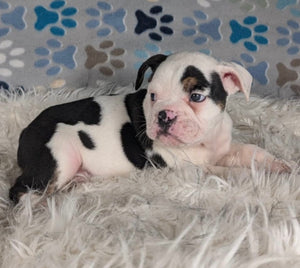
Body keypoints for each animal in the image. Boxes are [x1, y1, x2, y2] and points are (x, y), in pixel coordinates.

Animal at [9, 52, 290, 203]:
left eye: (196, 97)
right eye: (153, 96)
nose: (165, 116)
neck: (204, 141)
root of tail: (25, 133)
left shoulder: (224, 147)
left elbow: (250, 151)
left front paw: (276, 165)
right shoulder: (190, 169)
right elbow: (228, 172)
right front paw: (256, 176)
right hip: (60, 157)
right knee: (21, 191)